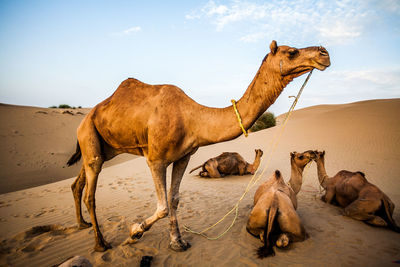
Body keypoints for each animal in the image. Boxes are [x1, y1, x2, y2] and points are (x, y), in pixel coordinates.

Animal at [67, 40, 332, 252]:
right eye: (292, 52)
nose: (324, 53)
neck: (192, 118)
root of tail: (86, 118)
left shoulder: (183, 156)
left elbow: (174, 200)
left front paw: (177, 242)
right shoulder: (156, 159)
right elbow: (163, 206)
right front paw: (134, 232)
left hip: (102, 147)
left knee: (78, 182)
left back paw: (81, 224)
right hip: (89, 134)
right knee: (90, 193)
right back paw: (100, 244)